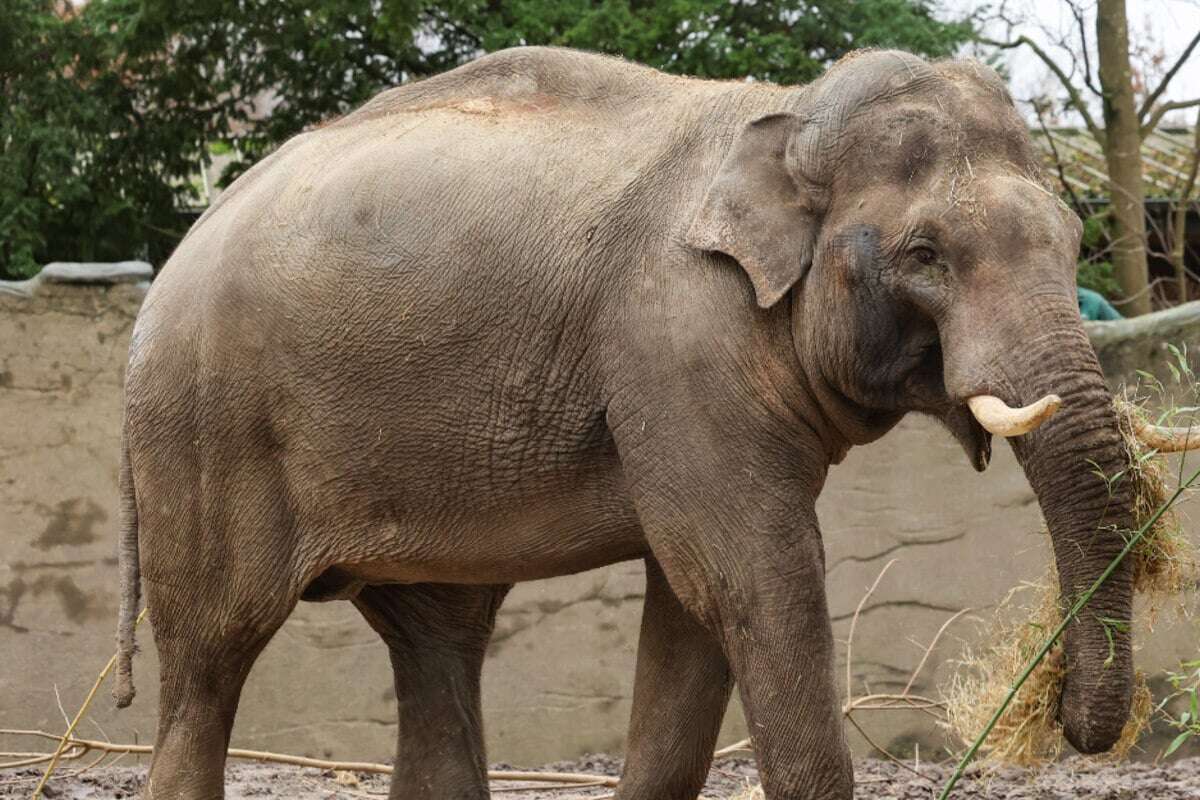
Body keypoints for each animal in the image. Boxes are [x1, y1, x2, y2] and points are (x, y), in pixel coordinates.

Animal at [108, 45, 1176, 800]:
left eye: (1073, 237)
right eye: (926, 254)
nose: (1071, 722)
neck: (781, 120)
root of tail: (160, 282)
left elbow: (693, 611)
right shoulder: (676, 339)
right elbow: (750, 578)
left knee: (439, 639)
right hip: (206, 428)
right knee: (210, 655)